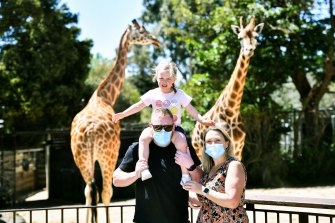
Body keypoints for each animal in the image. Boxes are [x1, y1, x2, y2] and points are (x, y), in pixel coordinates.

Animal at [70, 19, 161, 223]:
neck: (105, 97)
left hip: (81, 158)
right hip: (108, 156)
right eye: (142, 31)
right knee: (105, 191)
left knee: (88, 191)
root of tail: (90, 133)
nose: (156, 40)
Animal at [193, 16, 264, 161]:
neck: (232, 110)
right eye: (240, 37)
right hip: (199, 151)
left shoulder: (239, 148)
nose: (249, 50)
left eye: (256, 36)